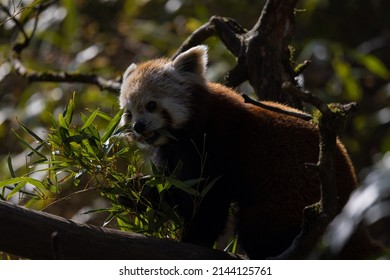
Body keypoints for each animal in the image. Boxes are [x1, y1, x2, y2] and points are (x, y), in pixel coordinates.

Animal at [119, 45, 374, 258]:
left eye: (151, 105)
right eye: (129, 112)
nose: (138, 127)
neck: (184, 134)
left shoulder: (217, 143)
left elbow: (209, 200)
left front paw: (194, 239)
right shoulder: (172, 153)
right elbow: (173, 188)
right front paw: (134, 191)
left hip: (287, 202)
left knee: (257, 227)